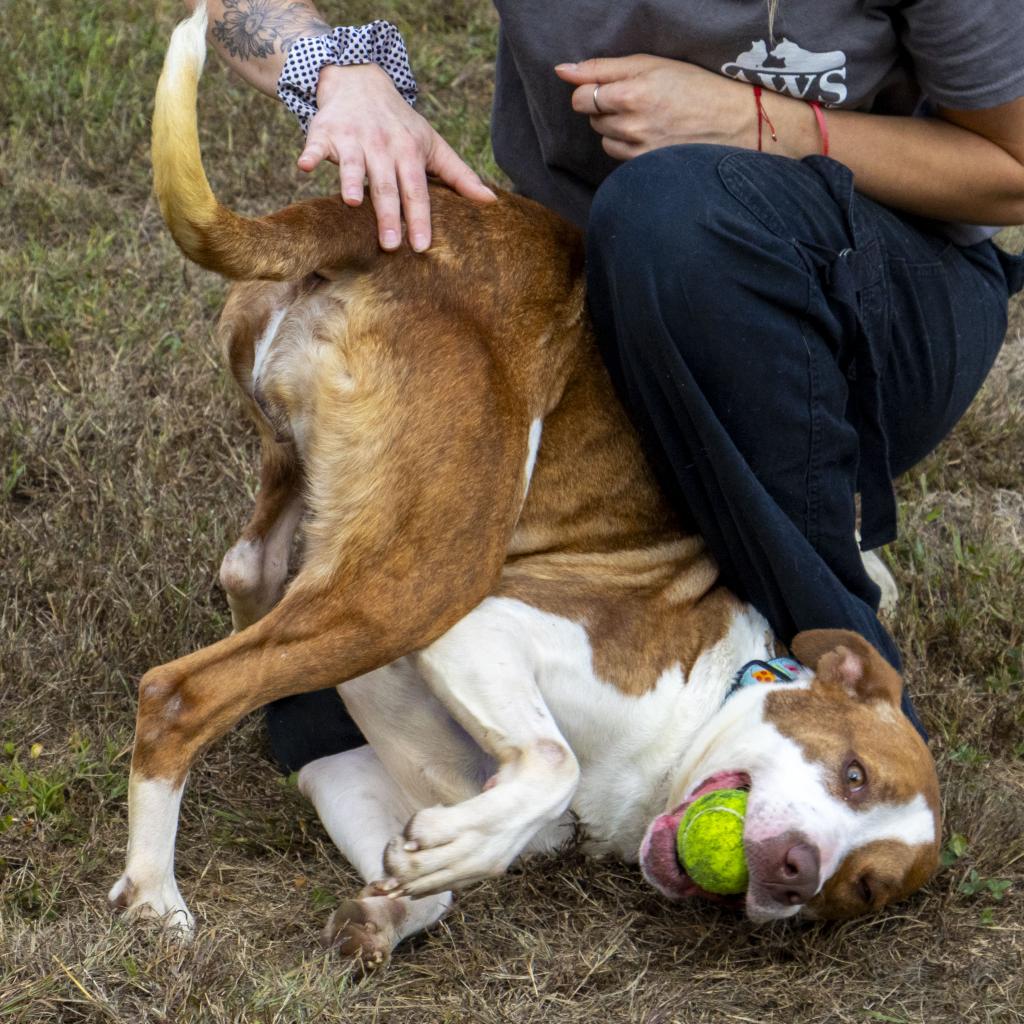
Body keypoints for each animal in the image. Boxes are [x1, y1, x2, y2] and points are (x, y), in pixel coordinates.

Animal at [108, 6, 937, 966]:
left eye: (863, 888)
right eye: (853, 771)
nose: (800, 870)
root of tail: (424, 225)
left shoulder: (372, 772)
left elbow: (427, 878)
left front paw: (398, 901)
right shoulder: (482, 633)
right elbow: (553, 763)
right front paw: (465, 849)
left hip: (318, 497)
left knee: (250, 573)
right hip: (418, 586)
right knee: (181, 694)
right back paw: (156, 895)